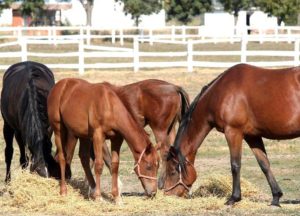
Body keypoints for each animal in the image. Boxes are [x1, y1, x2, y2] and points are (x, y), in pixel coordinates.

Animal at [163, 63, 300, 207]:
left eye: (172, 172)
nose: (168, 194)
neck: (219, 94)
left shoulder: (233, 132)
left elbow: (235, 164)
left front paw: (234, 198)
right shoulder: (252, 136)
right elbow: (264, 164)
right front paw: (276, 197)